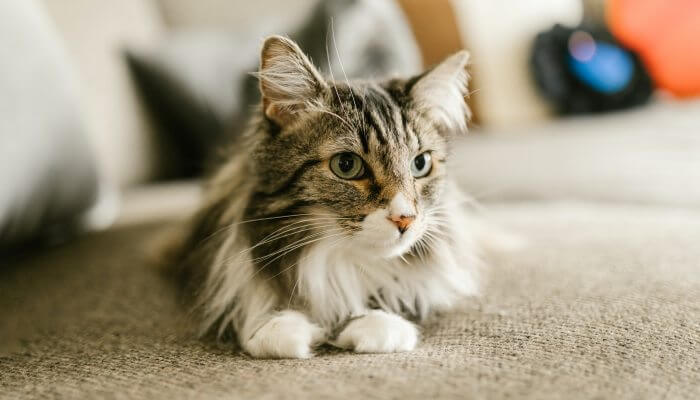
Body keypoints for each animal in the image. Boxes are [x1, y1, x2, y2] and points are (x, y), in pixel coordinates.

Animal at [173, 35, 484, 360]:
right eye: (346, 165)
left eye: (420, 164)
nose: (405, 219)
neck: (340, 260)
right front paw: (278, 327)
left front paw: (376, 324)